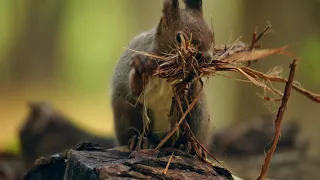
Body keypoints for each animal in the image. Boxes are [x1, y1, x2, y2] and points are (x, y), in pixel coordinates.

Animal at [110, 0, 215, 150]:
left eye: (212, 35)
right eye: (179, 38)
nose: (208, 58)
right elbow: (136, 90)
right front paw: (140, 67)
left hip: (196, 113)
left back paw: (188, 144)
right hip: (127, 112)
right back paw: (140, 140)